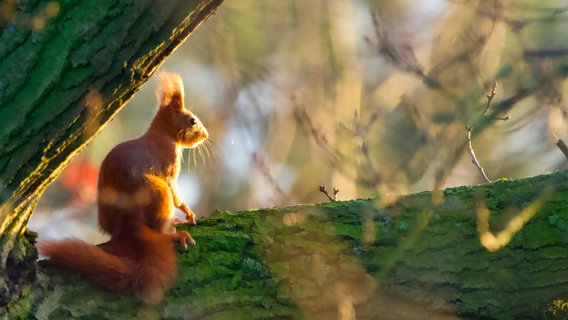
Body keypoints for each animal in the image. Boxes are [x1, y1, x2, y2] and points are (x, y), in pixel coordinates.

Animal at [38, 72, 210, 304]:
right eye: (193, 120)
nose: (206, 136)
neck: (163, 134)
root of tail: (128, 222)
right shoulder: (169, 166)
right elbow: (175, 193)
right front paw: (188, 212)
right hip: (158, 191)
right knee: (159, 226)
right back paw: (174, 234)